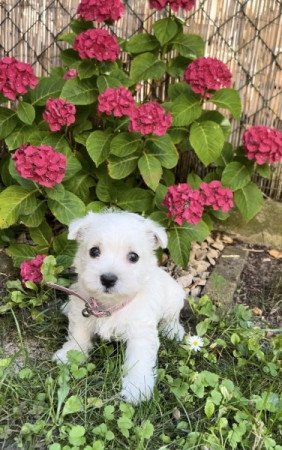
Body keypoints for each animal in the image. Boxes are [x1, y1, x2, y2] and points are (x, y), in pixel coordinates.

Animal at [53, 211, 185, 404]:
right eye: (94, 251)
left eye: (133, 256)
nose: (108, 279)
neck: (110, 304)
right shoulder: (83, 311)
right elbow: (79, 334)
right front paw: (71, 353)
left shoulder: (141, 332)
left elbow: (139, 360)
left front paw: (137, 388)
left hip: (174, 299)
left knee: (172, 317)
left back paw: (173, 330)